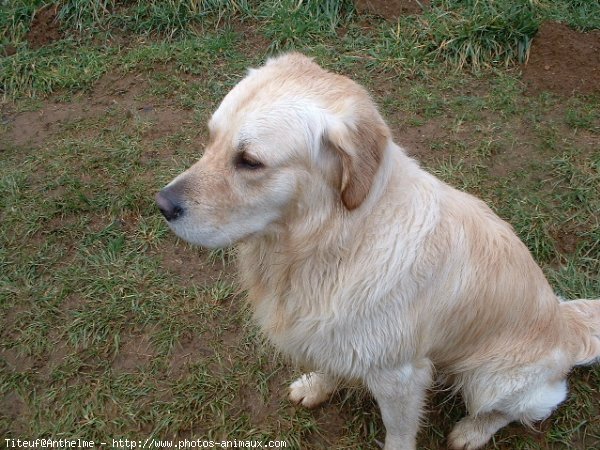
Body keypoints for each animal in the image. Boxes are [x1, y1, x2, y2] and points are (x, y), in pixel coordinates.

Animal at [156, 53, 600, 450]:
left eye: (249, 161)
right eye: (211, 138)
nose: (162, 205)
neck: (335, 239)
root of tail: (567, 324)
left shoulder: (400, 375)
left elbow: (399, 434)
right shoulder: (330, 334)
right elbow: (328, 363)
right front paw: (317, 386)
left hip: (491, 380)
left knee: (523, 408)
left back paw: (472, 431)